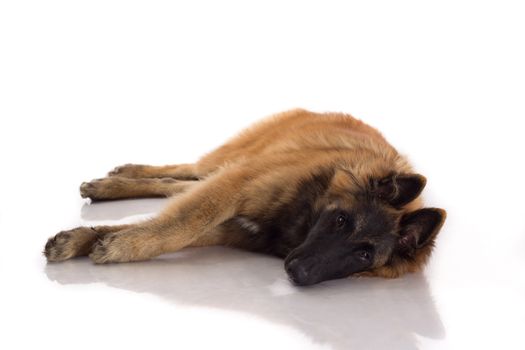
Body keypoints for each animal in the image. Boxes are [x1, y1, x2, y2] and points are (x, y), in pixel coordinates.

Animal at [46, 108, 446, 284]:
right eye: (341, 220)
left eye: (364, 254)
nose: (298, 273)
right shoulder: (235, 185)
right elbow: (182, 223)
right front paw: (116, 245)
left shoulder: (233, 223)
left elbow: (173, 223)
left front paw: (89, 239)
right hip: (229, 160)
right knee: (185, 168)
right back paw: (122, 175)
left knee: (177, 183)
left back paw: (111, 185)